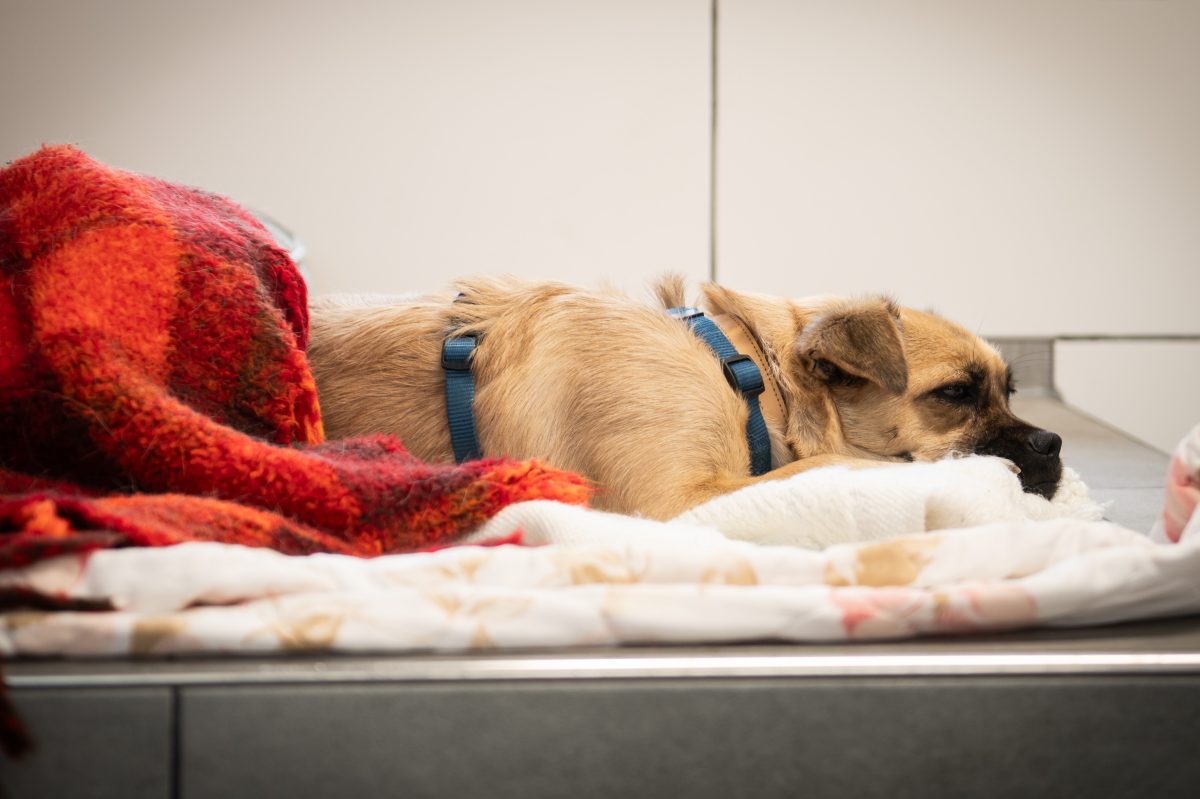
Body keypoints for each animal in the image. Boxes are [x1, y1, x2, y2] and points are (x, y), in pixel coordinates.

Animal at [307, 277, 1060, 520]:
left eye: (1008, 390)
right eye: (956, 394)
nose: (1053, 444)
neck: (751, 377)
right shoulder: (673, 500)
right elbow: (838, 464)